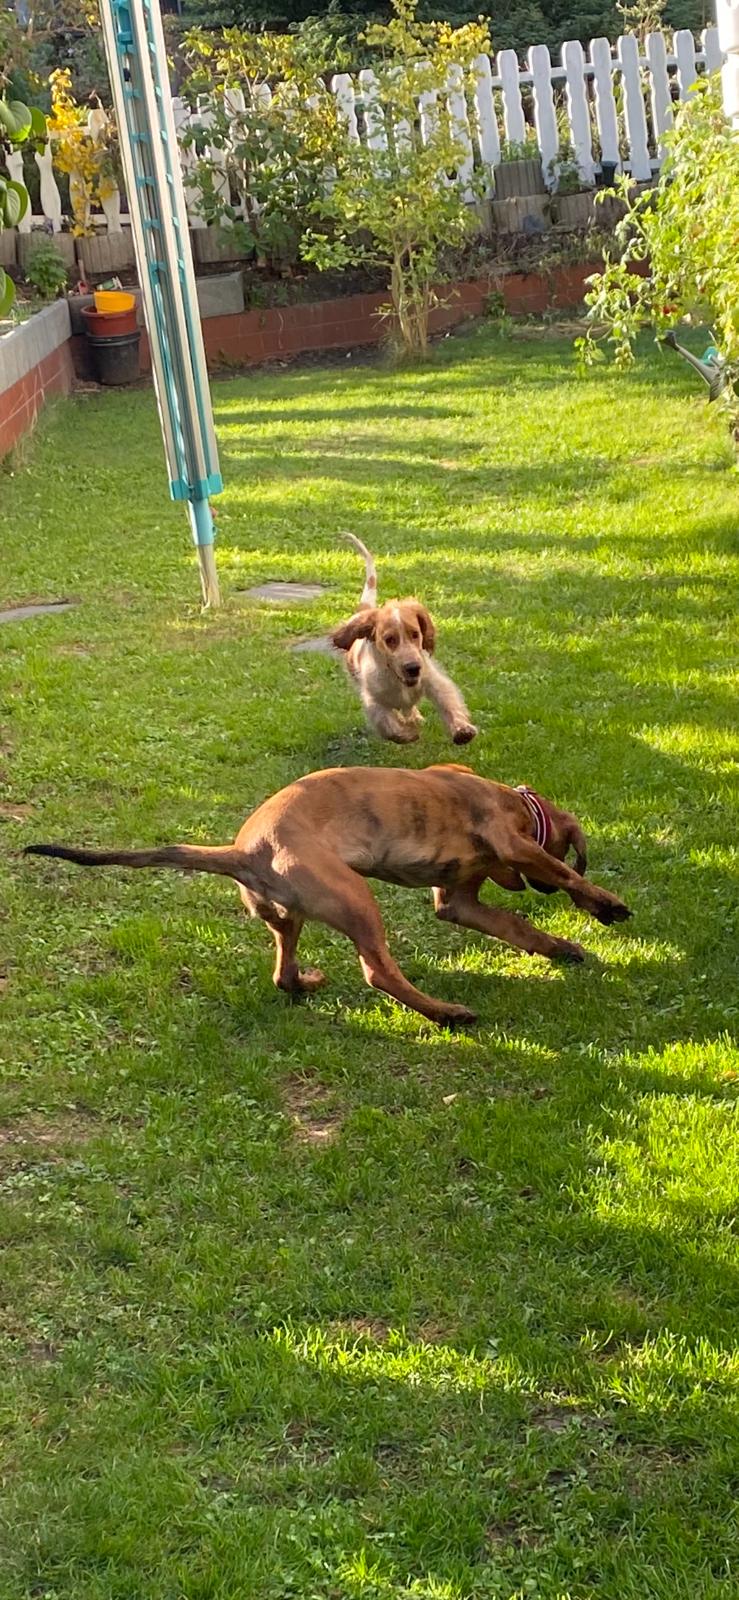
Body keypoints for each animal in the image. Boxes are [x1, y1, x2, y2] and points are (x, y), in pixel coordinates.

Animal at [25, 764, 630, 1029]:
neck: (512, 799)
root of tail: (243, 852)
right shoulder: (508, 840)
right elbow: (567, 873)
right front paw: (604, 905)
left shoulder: (458, 900)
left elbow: (515, 925)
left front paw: (560, 946)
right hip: (355, 895)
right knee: (378, 972)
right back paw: (447, 1013)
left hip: (287, 917)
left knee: (283, 973)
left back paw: (308, 983)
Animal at [331, 534, 477, 746]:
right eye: (389, 639)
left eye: (415, 634)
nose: (413, 668)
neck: (399, 680)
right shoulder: (373, 700)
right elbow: (387, 723)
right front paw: (407, 733)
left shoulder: (434, 681)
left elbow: (449, 703)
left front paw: (462, 730)